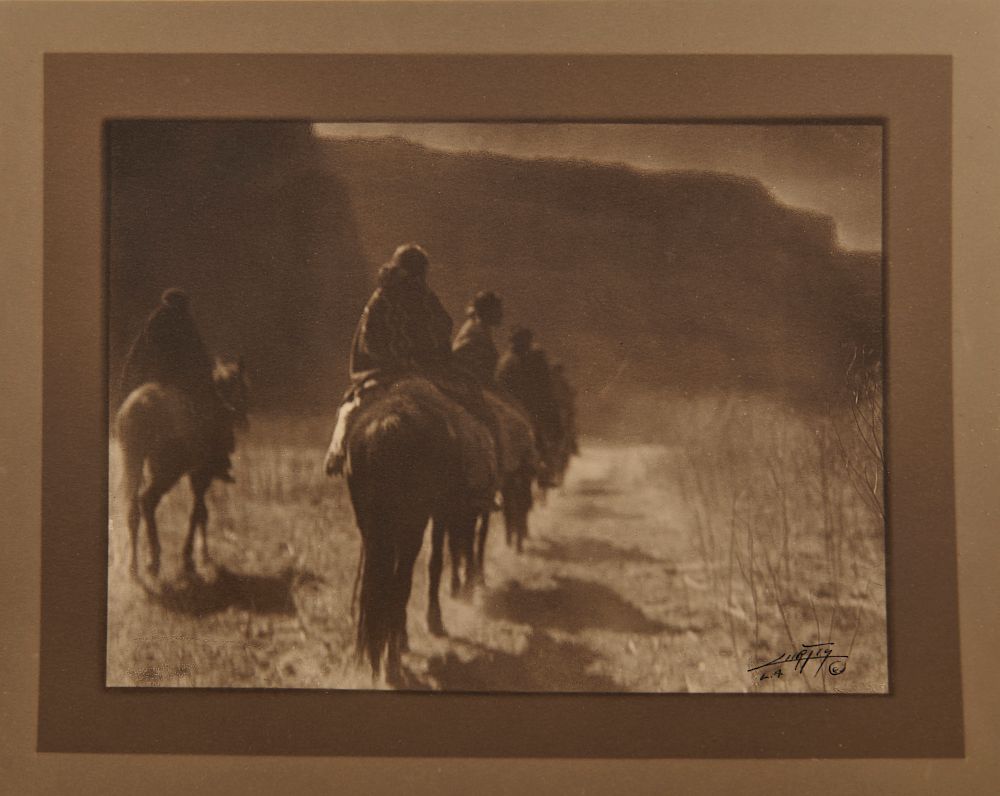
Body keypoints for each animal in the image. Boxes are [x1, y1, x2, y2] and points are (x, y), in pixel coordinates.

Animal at [116, 360, 249, 580]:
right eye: (244, 387)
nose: (245, 421)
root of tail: (141, 405)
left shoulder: (196, 475)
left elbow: (201, 512)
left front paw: (199, 557)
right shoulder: (202, 474)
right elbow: (198, 513)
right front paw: (193, 558)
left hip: (134, 462)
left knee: (133, 509)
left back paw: (133, 568)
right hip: (167, 472)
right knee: (147, 501)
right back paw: (153, 562)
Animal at [338, 376, 498, 680]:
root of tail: (387, 426)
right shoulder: (442, 512)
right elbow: (437, 561)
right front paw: (434, 620)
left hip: (373, 527)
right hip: (414, 524)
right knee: (402, 581)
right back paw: (392, 661)